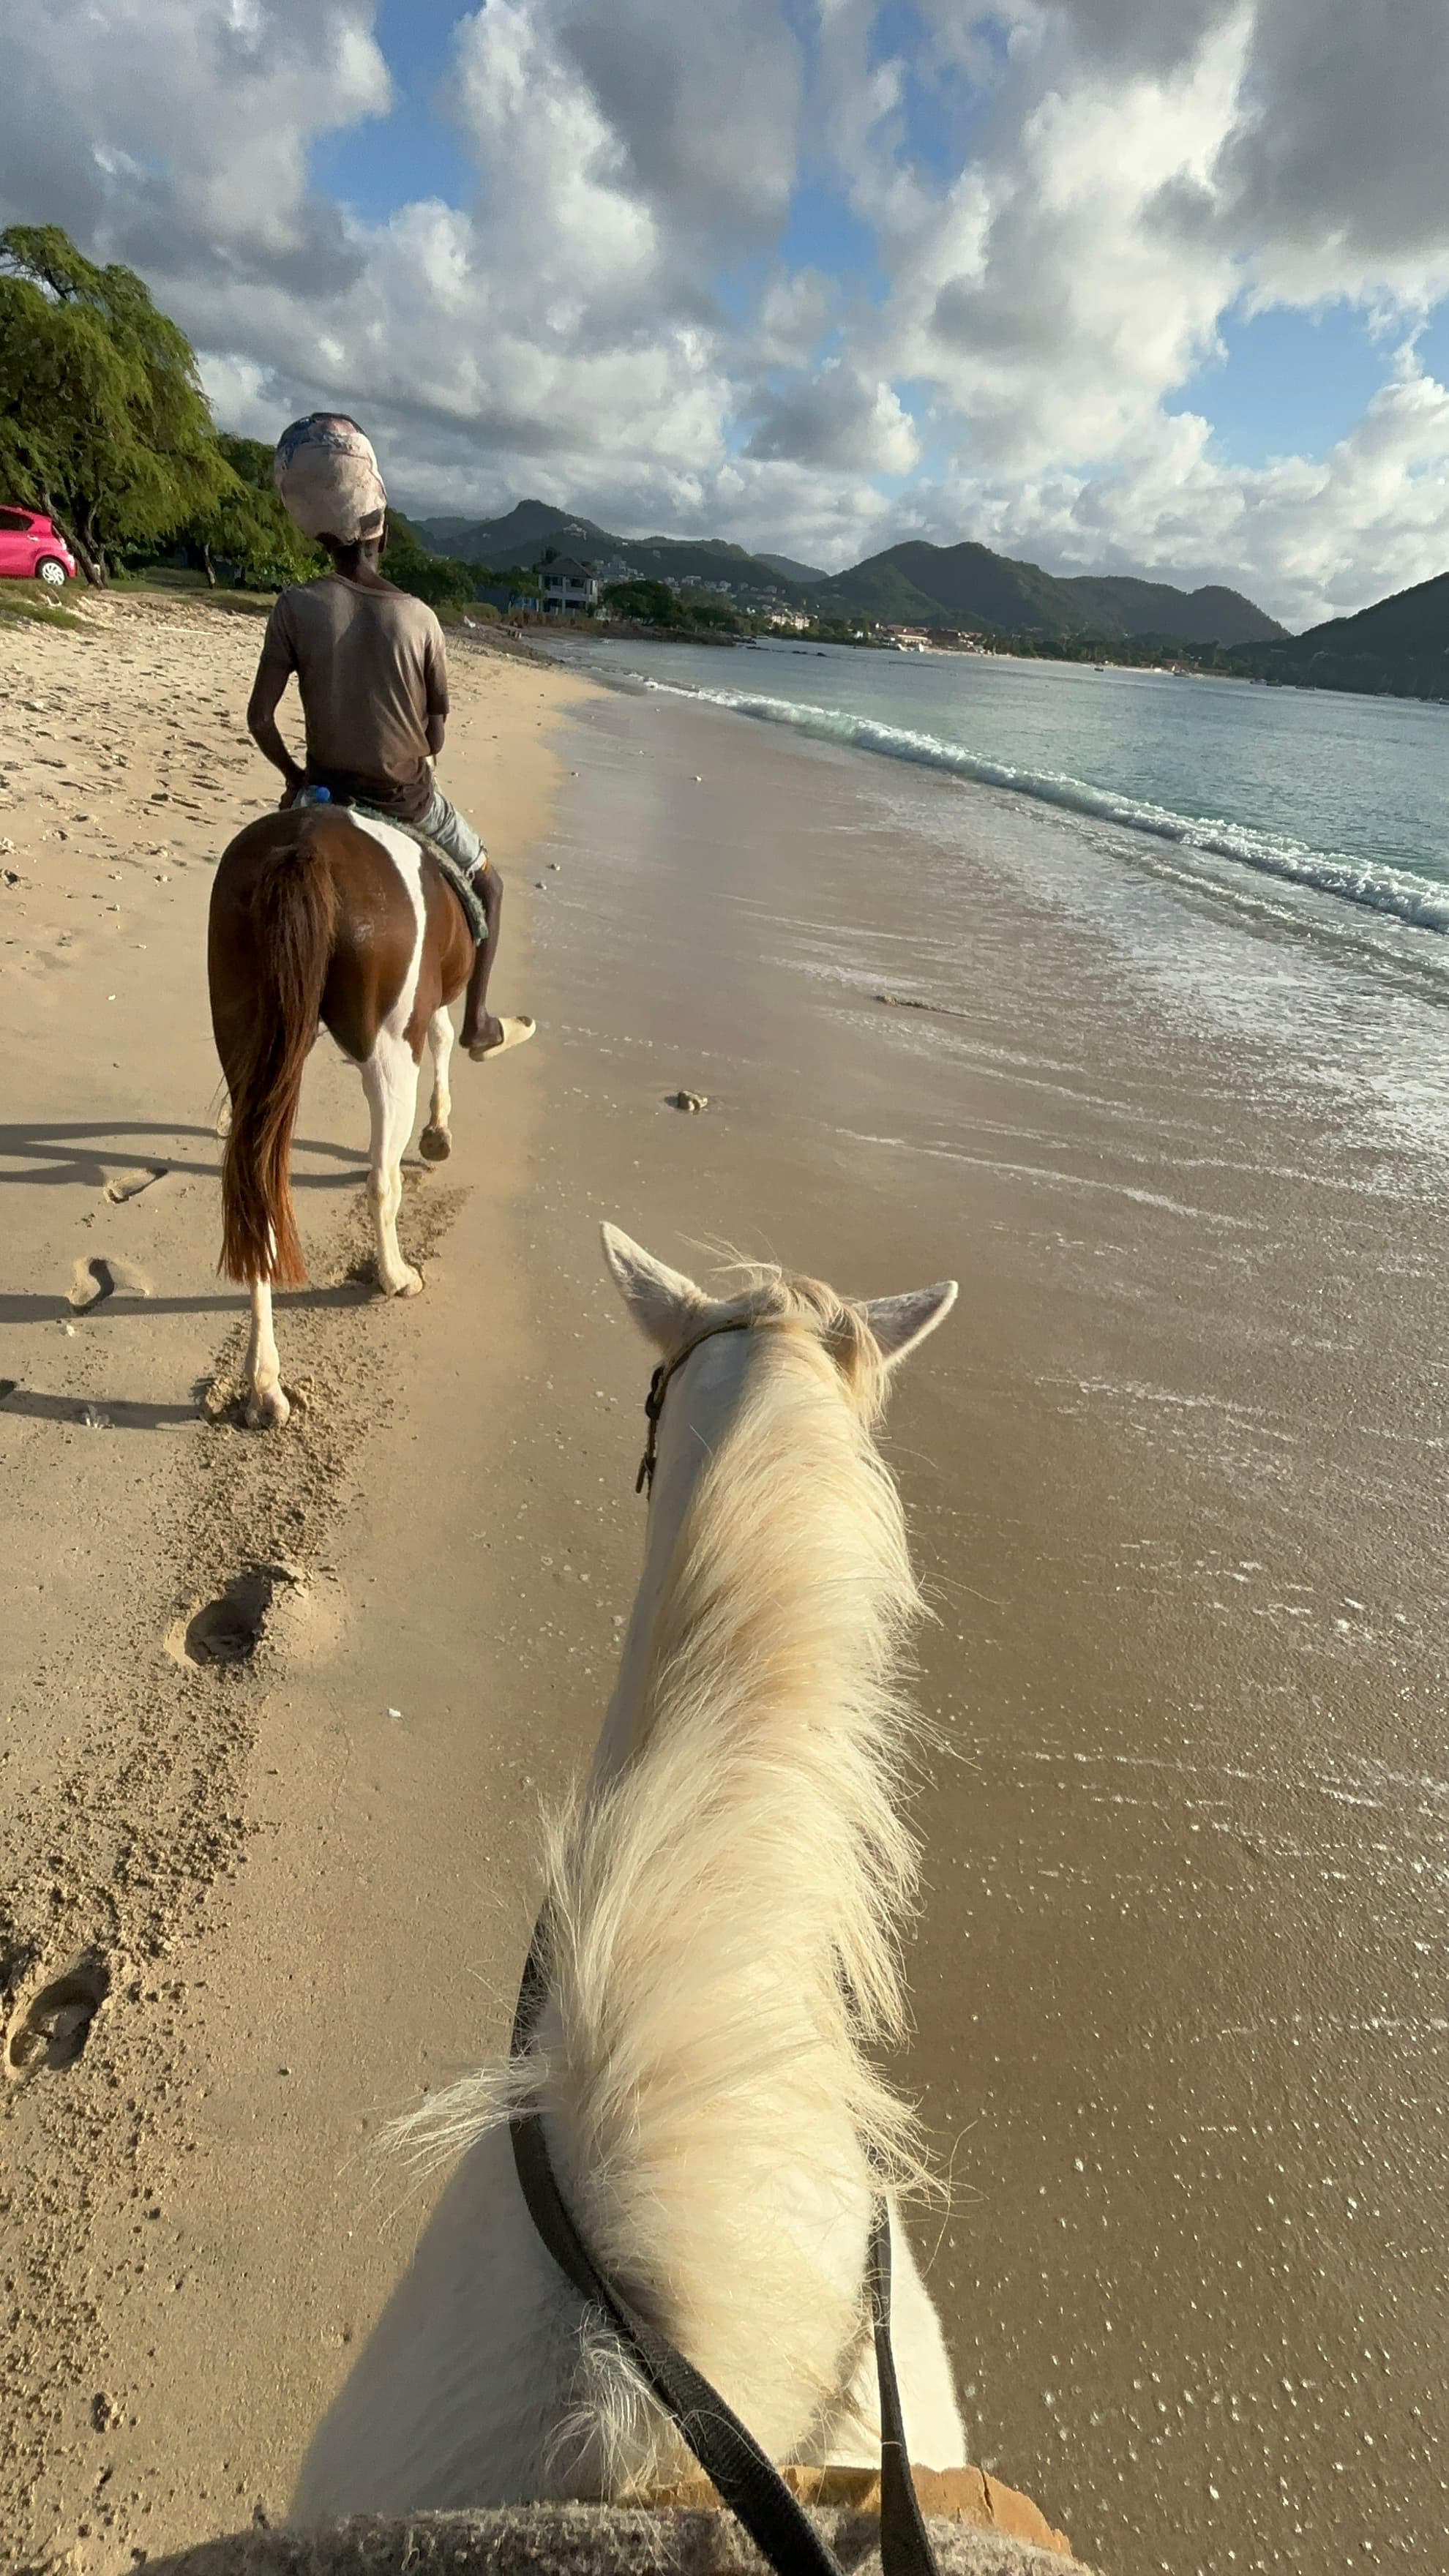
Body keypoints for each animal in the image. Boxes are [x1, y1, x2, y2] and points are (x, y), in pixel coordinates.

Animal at [209, 804, 471, 1432]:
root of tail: (304, 846)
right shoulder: (425, 1016)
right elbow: (445, 1035)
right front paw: (438, 1134)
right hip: (390, 1053)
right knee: (382, 1180)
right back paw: (395, 1276)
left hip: (246, 1041)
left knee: (259, 1194)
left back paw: (264, 1385)